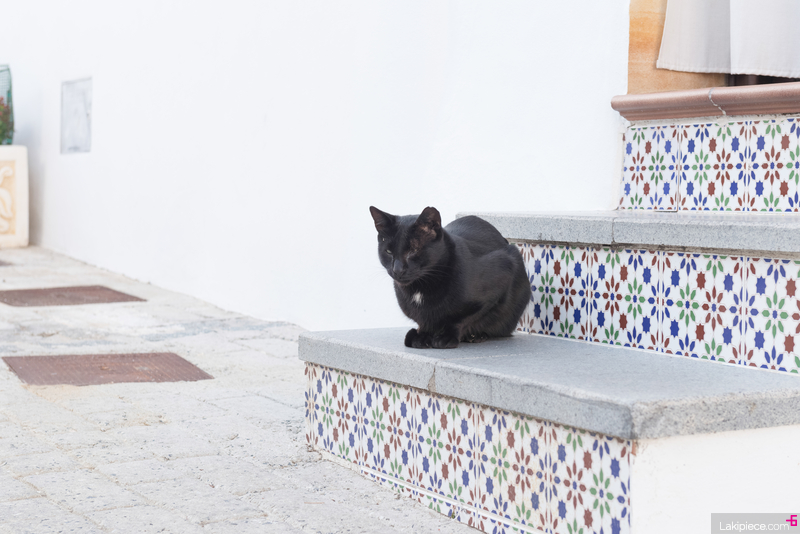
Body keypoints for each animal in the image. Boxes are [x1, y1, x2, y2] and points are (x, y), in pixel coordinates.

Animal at [369, 206, 531, 349]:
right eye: (389, 251)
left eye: (414, 250)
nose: (397, 269)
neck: (420, 288)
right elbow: (423, 320)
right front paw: (422, 336)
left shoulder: (503, 274)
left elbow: (462, 318)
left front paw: (446, 336)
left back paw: (476, 336)